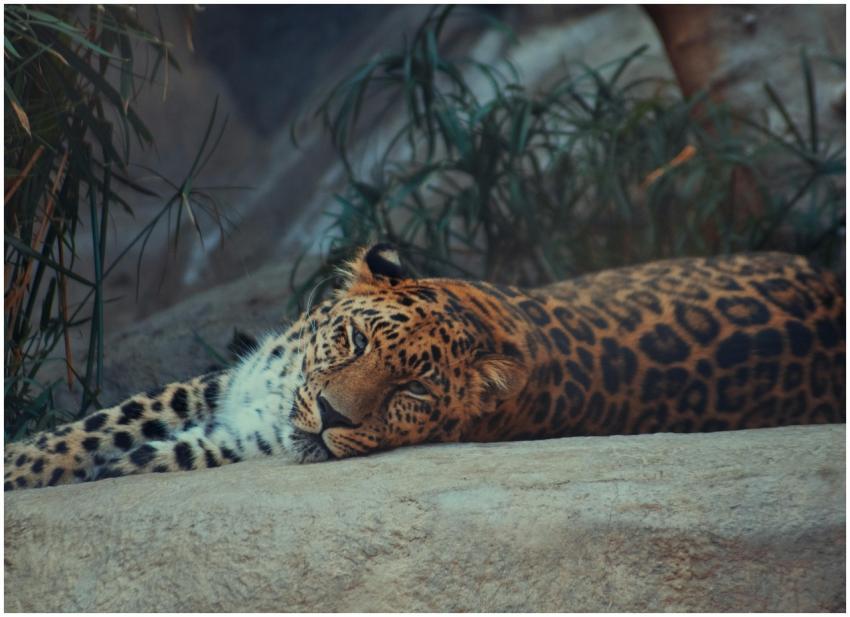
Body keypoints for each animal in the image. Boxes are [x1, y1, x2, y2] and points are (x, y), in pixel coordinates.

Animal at [4, 244, 845, 491]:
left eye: (410, 391)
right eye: (353, 342)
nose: (332, 416)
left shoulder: (241, 433)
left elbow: (151, 449)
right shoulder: (225, 382)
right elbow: (100, 422)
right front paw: (25, 458)